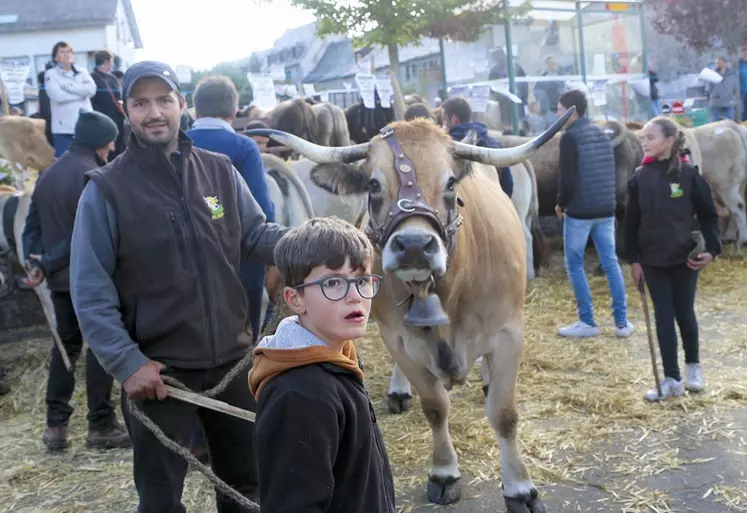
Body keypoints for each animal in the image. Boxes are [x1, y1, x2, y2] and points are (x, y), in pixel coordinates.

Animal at [245, 109, 572, 512]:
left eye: (451, 183)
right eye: (373, 184)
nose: (414, 245)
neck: (449, 291)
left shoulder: (509, 333)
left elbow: (504, 414)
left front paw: (520, 488)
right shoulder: (398, 338)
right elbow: (435, 407)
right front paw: (444, 472)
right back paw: (400, 391)